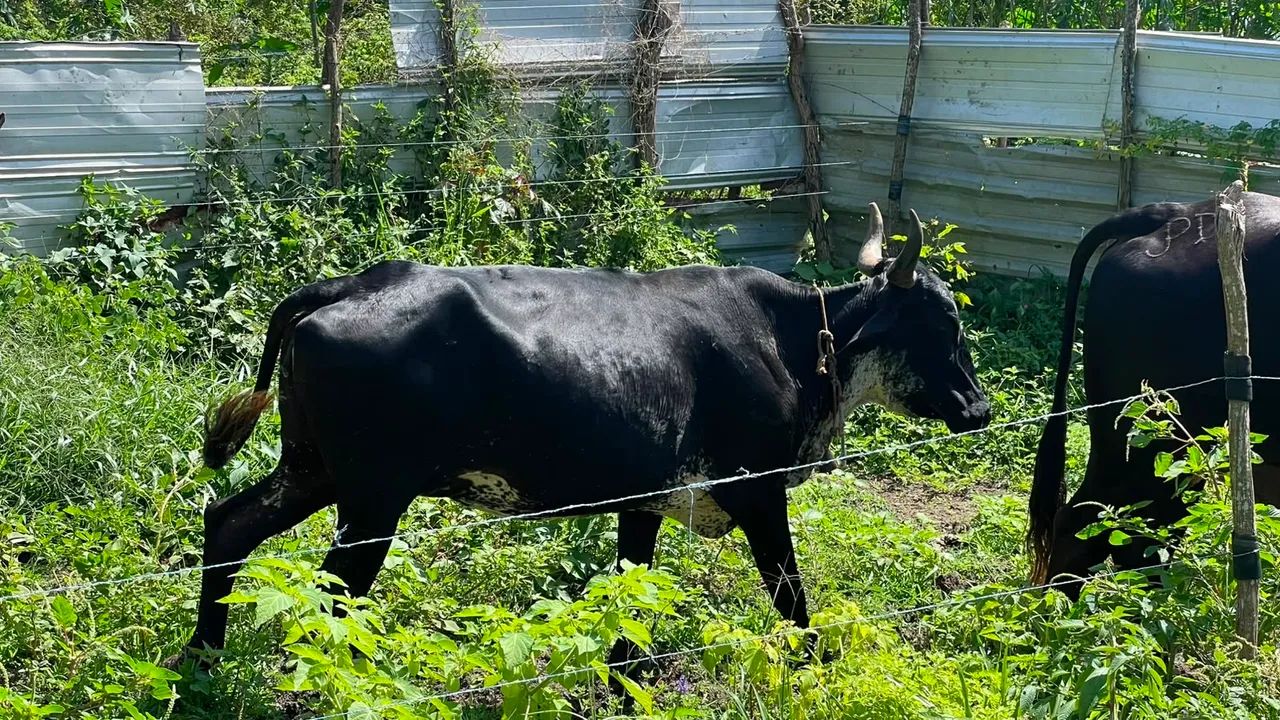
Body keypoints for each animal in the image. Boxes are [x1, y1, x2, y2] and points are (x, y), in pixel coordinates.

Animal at [176, 203, 991, 679]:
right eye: (944, 323)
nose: (980, 409)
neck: (793, 343)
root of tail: (351, 284)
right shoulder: (757, 494)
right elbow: (790, 596)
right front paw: (816, 668)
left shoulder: (646, 500)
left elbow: (631, 597)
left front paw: (621, 681)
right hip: (372, 501)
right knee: (331, 597)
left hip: (312, 471)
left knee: (228, 523)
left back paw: (202, 656)